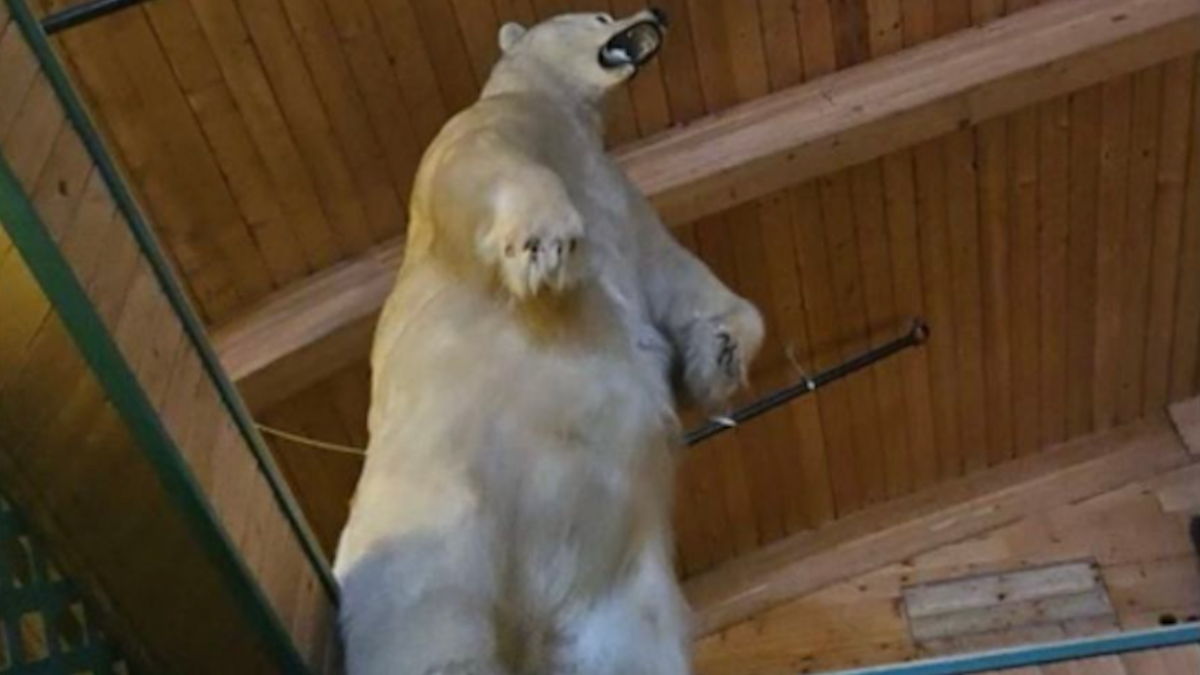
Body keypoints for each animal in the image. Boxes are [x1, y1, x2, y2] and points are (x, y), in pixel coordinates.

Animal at [333, 8, 764, 675]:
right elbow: (479, 164)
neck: (564, 113)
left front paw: (721, 351)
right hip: (436, 523)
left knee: (634, 645)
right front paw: (545, 242)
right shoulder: (492, 127)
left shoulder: (623, 198)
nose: (655, 14)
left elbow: (674, 273)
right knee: (429, 632)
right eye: (599, 15)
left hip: (613, 588)